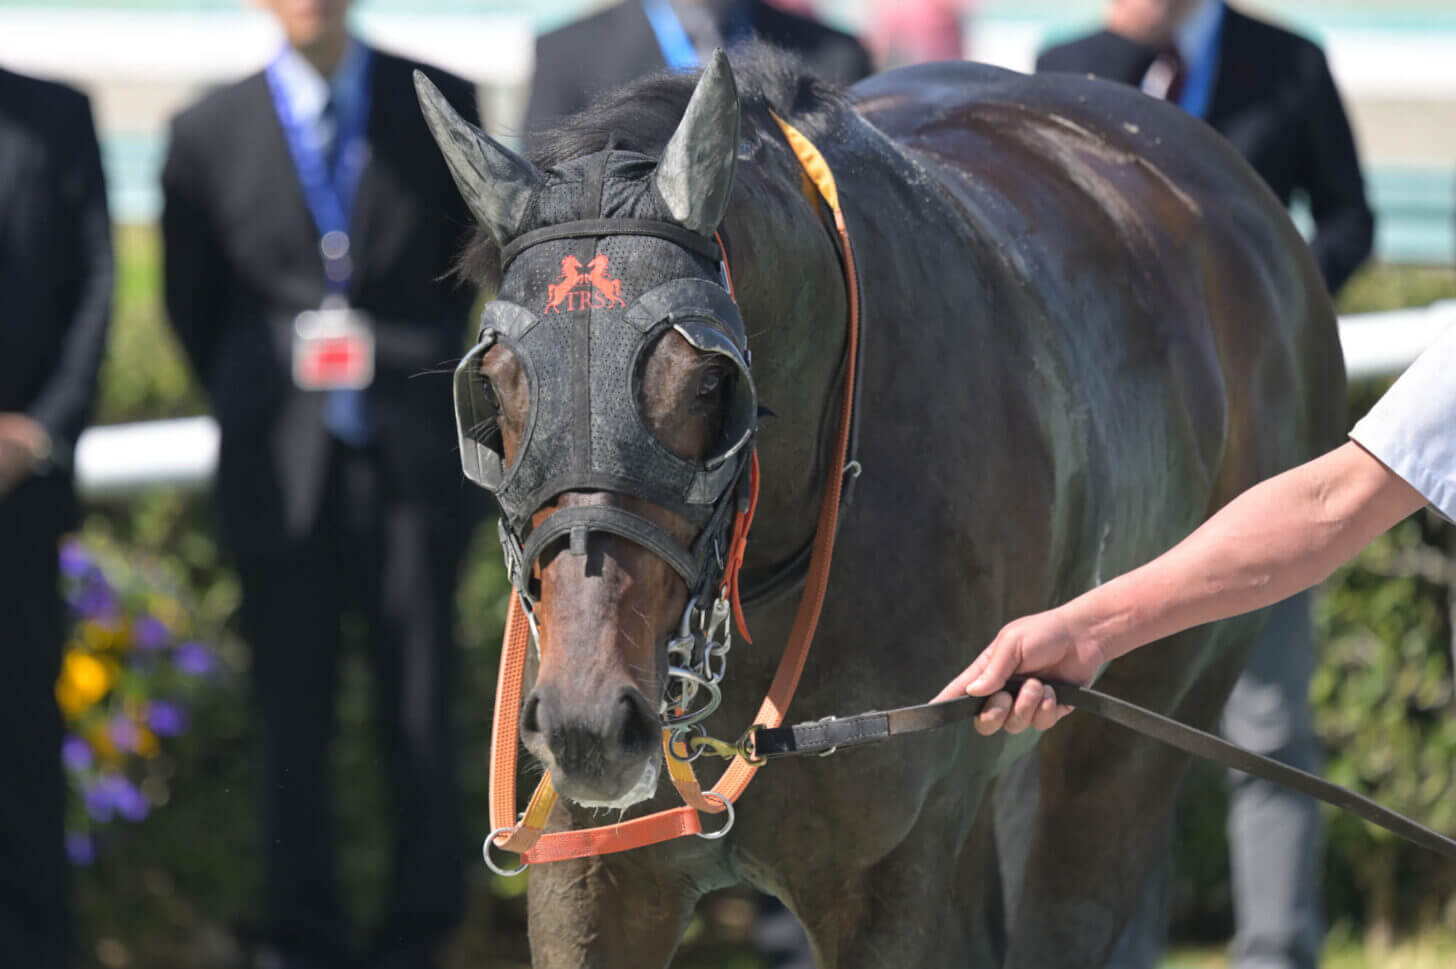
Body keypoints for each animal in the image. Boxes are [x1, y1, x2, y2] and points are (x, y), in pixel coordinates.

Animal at [410, 45, 1339, 966]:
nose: (591, 721)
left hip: (1139, 725)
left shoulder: (895, 875)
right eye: (497, 385)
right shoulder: (593, 875)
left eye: (709, 381)